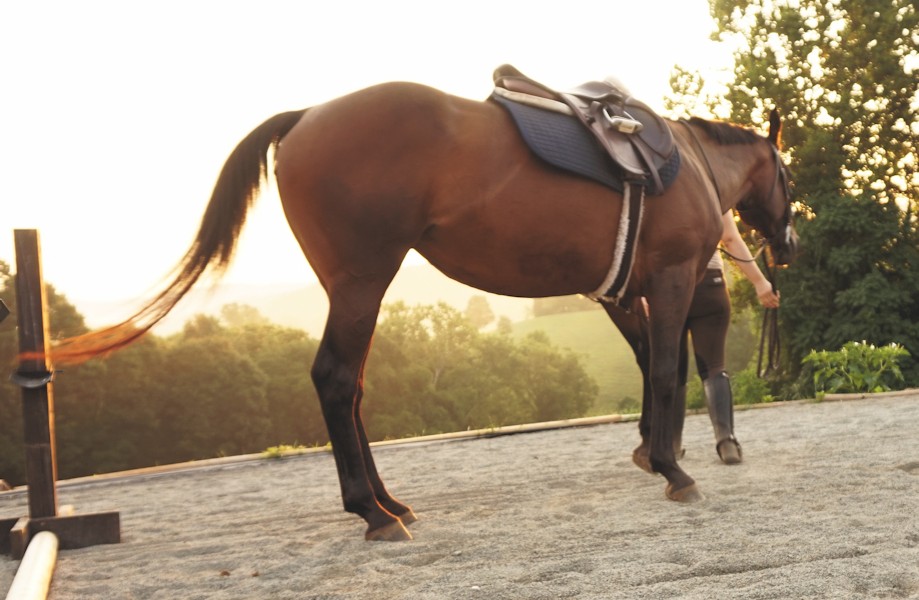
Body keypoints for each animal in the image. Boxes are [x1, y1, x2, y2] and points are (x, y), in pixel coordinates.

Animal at [50, 78, 797, 542]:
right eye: (787, 175)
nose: (788, 244)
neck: (688, 163)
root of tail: (306, 117)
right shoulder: (669, 280)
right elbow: (670, 370)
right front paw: (673, 468)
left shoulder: (622, 290)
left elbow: (647, 365)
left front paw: (648, 452)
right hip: (362, 283)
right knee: (335, 381)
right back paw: (372, 512)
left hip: (355, 289)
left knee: (350, 389)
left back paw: (386, 502)